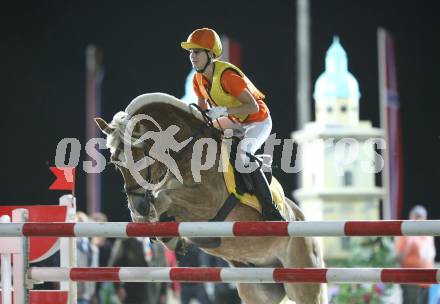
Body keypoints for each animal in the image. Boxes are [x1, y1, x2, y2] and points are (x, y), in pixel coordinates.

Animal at [96, 93, 328, 304]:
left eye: (139, 156)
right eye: (115, 162)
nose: (140, 205)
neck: (186, 151)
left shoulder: (208, 203)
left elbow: (164, 198)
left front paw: (163, 227)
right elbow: (155, 208)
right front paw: (159, 230)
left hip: (304, 284)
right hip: (258, 289)